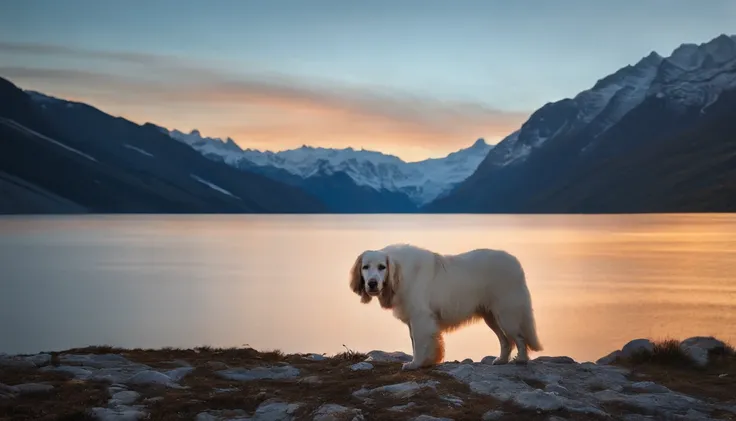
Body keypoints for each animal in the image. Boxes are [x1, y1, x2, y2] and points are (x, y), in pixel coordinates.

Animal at [348, 241, 544, 370]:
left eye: (382, 267)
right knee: (505, 340)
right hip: (491, 316)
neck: (399, 274)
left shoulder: (421, 318)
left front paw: (416, 364)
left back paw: (521, 360)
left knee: (519, 338)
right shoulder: (414, 320)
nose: (372, 283)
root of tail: (516, 263)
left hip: (507, 313)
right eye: (365, 267)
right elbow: (414, 341)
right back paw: (501, 360)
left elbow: (420, 343)